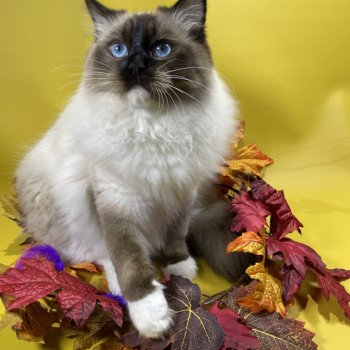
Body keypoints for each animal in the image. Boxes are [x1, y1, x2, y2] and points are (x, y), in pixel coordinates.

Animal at [15, 0, 253, 340]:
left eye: (161, 49)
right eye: (119, 50)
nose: (135, 66)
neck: (152, 127)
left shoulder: (181, 193)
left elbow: (175, 236)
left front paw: (179, 269)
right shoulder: (115, 200)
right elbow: (127, 257)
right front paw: (150, 315)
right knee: (97, 252)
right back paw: (119, 289)